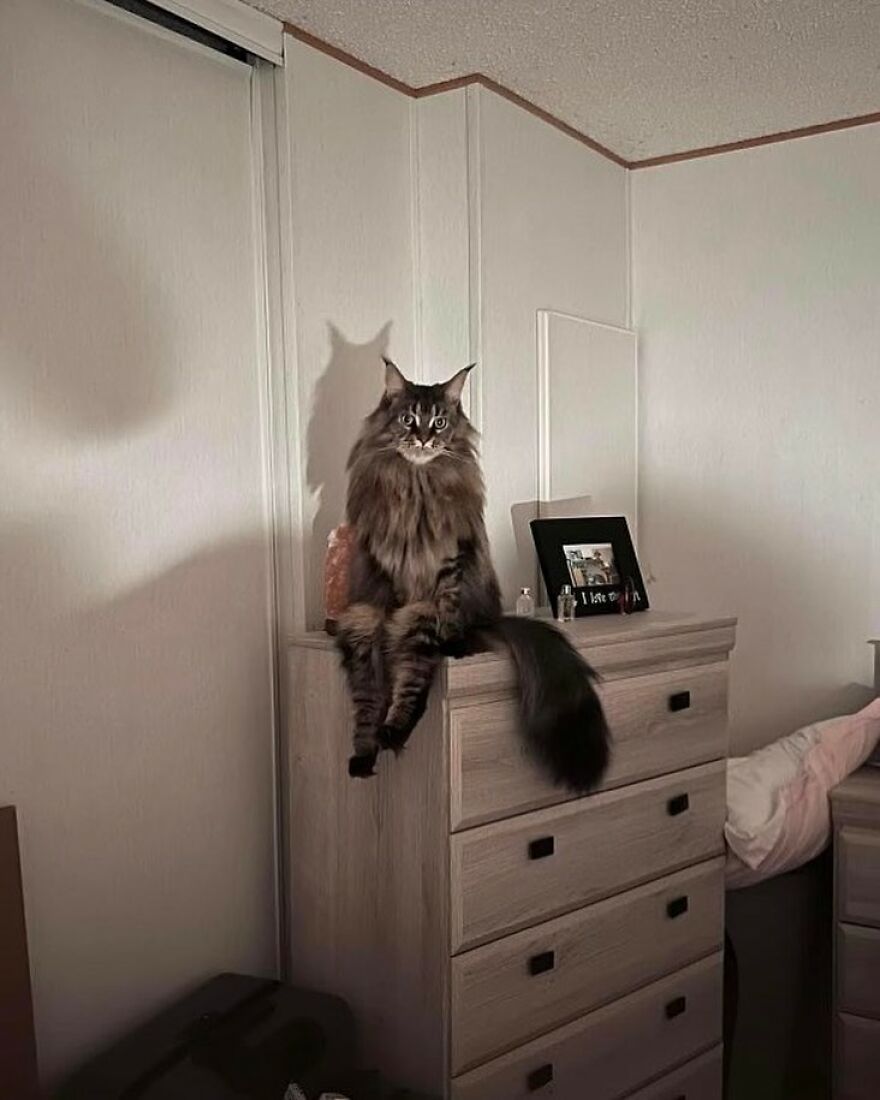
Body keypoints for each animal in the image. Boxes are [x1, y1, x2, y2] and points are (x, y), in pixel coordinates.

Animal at [334, 360, 607, 792]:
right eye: (409, 419)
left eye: (440, 422)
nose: (425, 439)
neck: (417, 483)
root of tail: (492, 618)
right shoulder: (388, 572)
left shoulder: (451, 557)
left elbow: (449, 601)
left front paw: (452, 641)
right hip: (360, 623)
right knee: (367, 697)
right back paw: (365, 753)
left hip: (419, 619)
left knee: (413, 678)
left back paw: (393, 729)